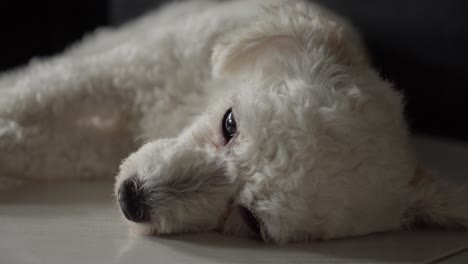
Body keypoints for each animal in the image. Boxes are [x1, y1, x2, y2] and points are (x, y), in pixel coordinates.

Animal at [0, 0, 466, 243]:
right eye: (229, 124)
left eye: (249, 220)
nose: (132, 199)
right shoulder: (128, 71)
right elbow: (46, 91)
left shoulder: (108, 144)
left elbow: (49, 148)